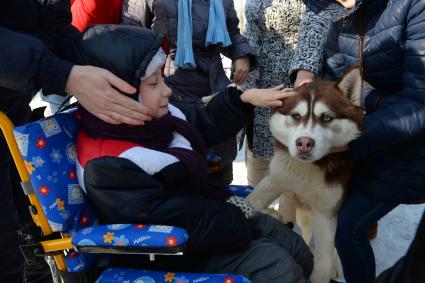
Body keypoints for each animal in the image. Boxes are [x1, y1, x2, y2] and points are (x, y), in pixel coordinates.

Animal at [247, 67, 362, 283]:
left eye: (326, 118)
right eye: (296, 116)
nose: (304, 143)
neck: (307, 170)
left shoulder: (327, 213)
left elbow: (324, 262)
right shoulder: (276, 179)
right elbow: (252, 202)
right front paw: (269, 213)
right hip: (304, 212)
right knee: (307, 231)